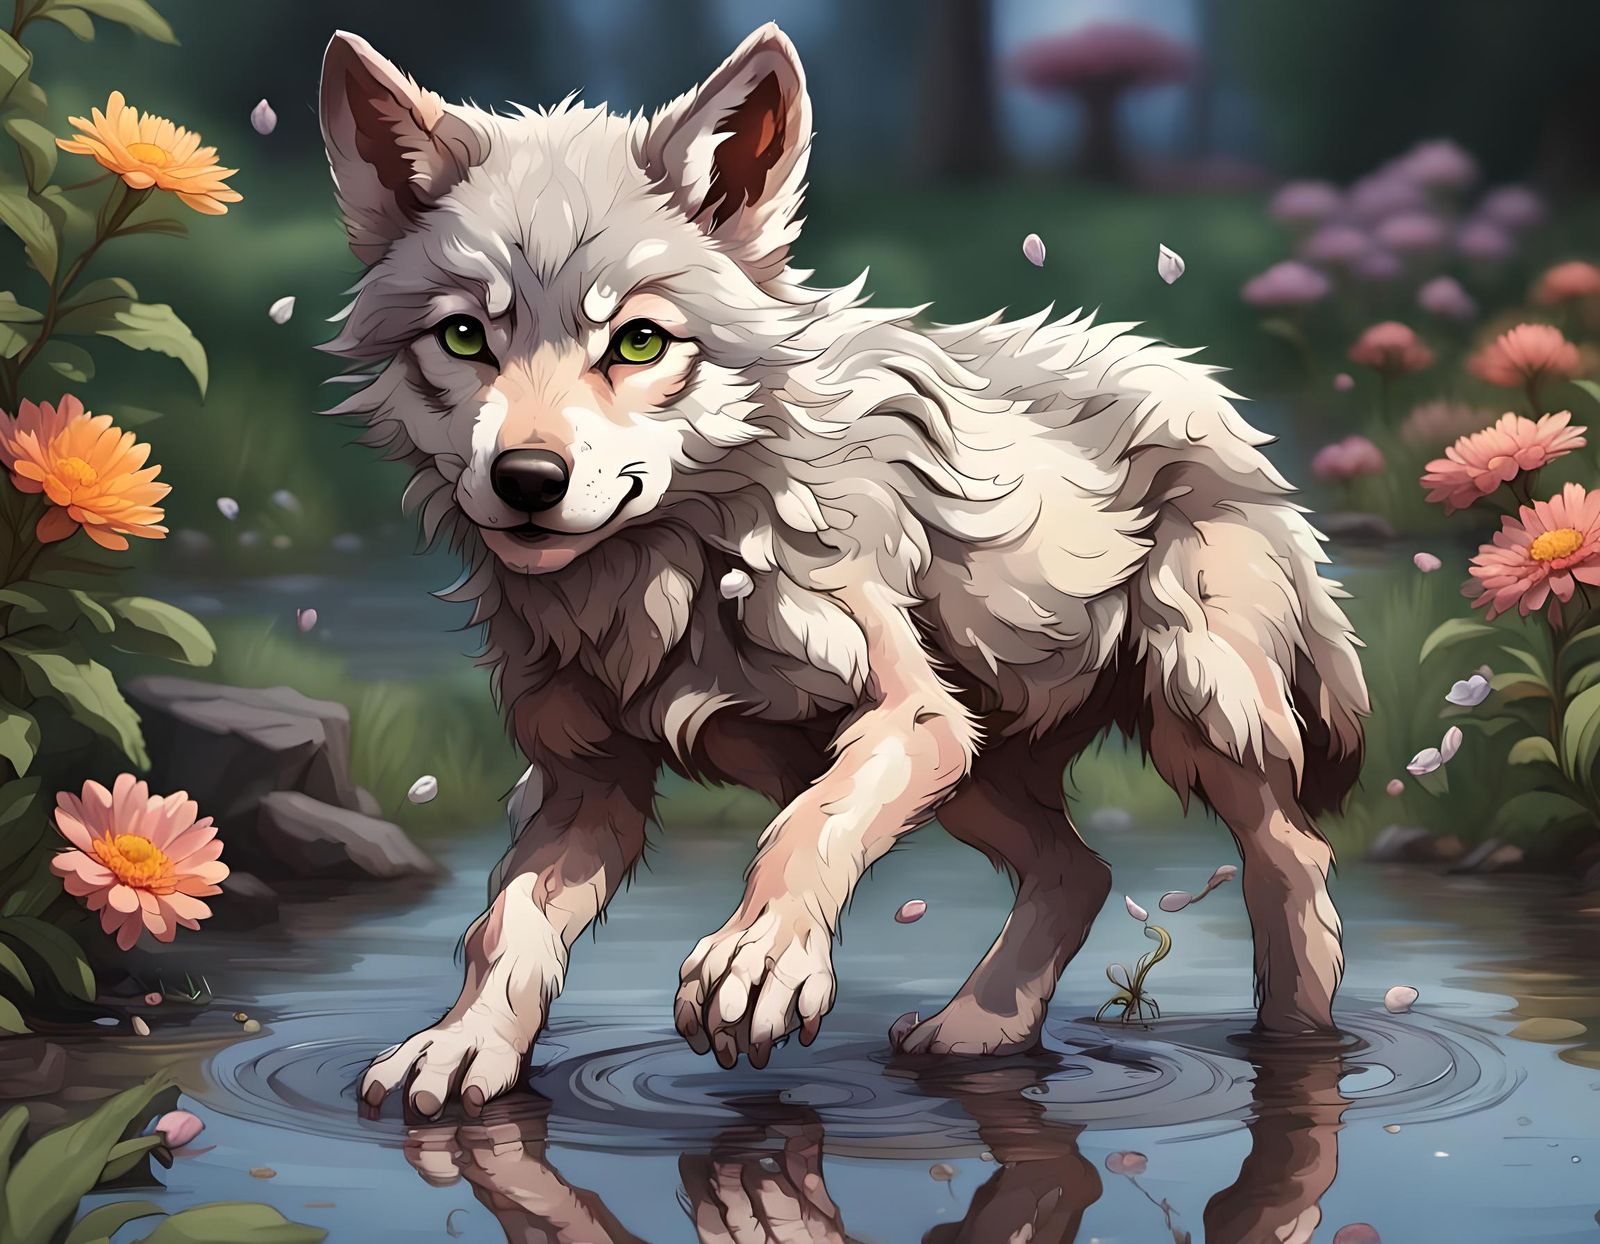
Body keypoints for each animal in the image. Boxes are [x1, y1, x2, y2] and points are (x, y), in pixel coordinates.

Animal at [320, 24, 1368, 1118]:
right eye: (464, 337)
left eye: (638, 341)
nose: (527, 479)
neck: (663, 574)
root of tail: (1208, 391)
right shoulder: (585, 785)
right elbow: (505, 925)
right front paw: (461, 1044)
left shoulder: (912, 715)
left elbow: (808, 825)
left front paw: (759, 961)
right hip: (986, 761)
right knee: (1078, 872)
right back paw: (977, 1030)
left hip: (1190, 712)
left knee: (1292, 856)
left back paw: (1299, 1043)